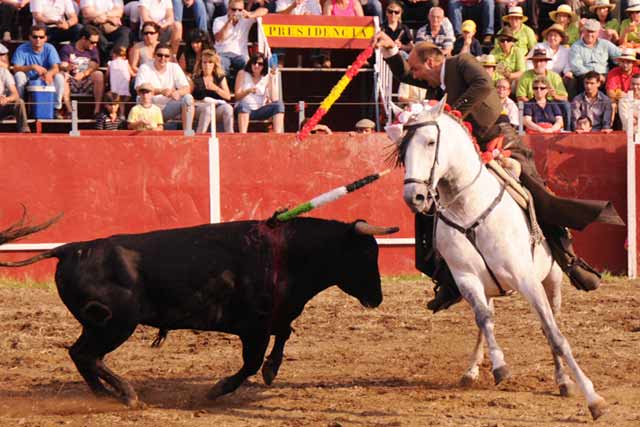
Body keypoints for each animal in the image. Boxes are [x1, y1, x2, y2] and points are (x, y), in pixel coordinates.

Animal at [0, 216, 398, 410]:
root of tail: (71, 249)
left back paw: (105, 395)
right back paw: (126, 395)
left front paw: (272, 372)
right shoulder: (254, 327)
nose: (377, 297)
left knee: (80, 355)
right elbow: (250, 363)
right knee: (87, 355)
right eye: (366, 253)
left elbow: (283, 335)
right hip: (116, 324)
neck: (287, 251)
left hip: (101, 325)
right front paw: (216, 390)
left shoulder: (275, 318)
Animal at [392, 97, 608, 422]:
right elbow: (483, 319)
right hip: (487, 286)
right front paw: (499, 366)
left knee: (551, 321)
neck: (468, 207)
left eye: (430, 141)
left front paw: (592, 398)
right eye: (403, 149)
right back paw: (472, 371)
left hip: (552, 280)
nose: (414, 197)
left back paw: (562, 380)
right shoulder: (466, 278)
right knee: (486, 320)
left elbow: (554, 334)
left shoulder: (526, 278)